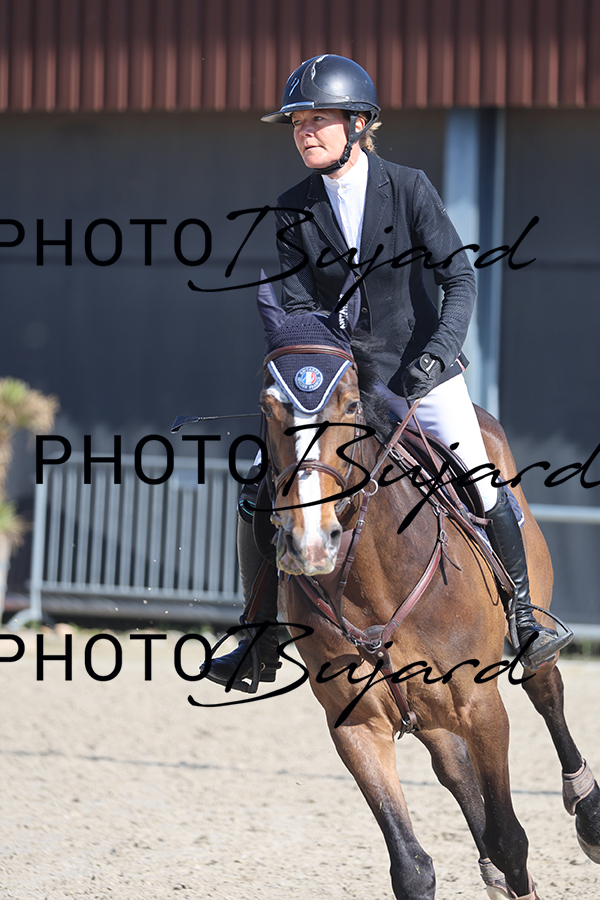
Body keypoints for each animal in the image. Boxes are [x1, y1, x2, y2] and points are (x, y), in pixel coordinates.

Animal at [253, 275, 600, 900]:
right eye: (269, 407)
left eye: (350, 405)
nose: (310, 542)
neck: (371, 585)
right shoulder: (356, 723)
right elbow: (412, 866)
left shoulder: (481, 705)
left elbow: (512, 839)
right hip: (424, 707)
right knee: (454, 768)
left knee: (546, 690)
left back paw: (588, 810)